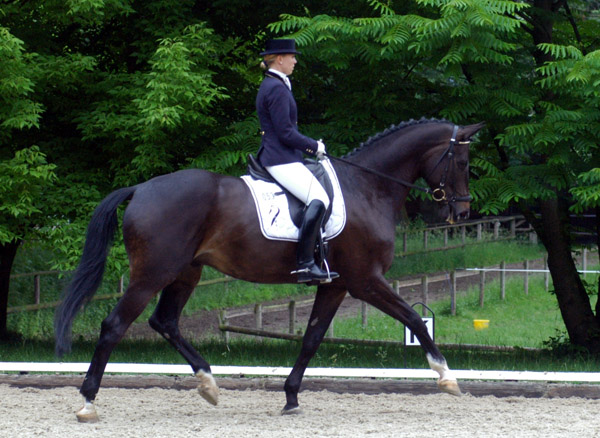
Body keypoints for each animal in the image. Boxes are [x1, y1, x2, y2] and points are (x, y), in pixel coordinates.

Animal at [55, 116, 488, 420]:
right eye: (462, 161)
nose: (463, 212)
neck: (368, 187)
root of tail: (141, 188)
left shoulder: (335, 285)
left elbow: (312, 339)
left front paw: (291, 397)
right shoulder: (365, 281)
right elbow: (414, 319)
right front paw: (447, 377)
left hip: (185, 272)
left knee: (164, 321)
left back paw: (208, 384)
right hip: (152, 274)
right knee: (115, 325)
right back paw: (88, 403)